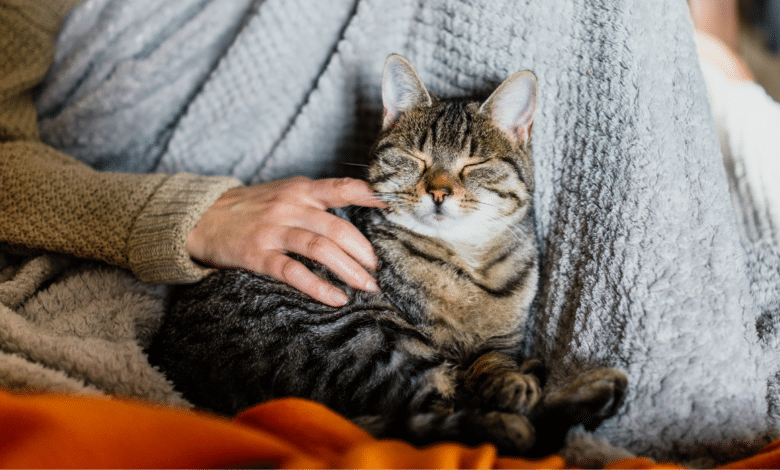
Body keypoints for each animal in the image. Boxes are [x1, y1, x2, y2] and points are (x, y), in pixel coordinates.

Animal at [145, 54, 628, 456]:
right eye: (416, 158)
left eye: (472, 165)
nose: (438, 191)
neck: (470, 262)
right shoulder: (435, 346)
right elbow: (473, 381)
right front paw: (513, 387)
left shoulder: (502, 341)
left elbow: (492, 361)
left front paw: (508, 376)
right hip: (366, 333)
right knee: (446, 417)